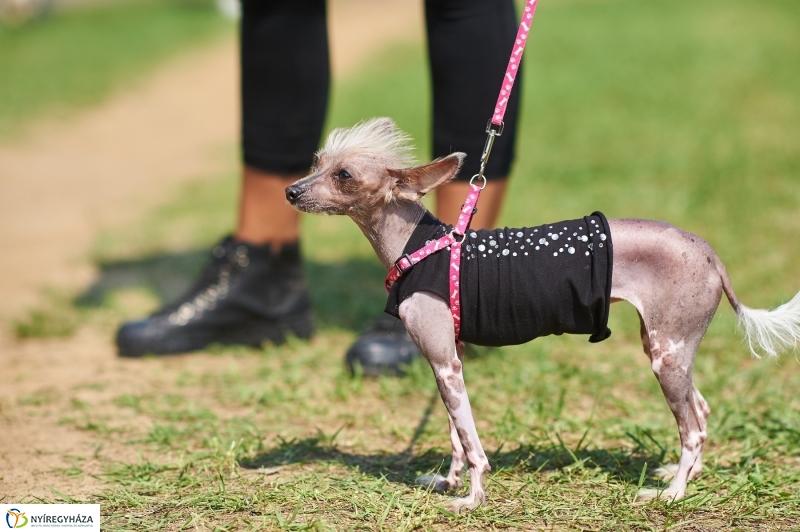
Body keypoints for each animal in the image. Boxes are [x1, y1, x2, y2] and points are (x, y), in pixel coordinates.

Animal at [288, 117, 800, 512]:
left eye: (345, 175)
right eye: (316, 163)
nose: (292, 192)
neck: (420, 243)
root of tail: (712, 255)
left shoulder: (446, 363)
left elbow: (473, 445)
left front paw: (471, 499)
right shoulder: (448, 360)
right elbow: (456, 433)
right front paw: (448, 482)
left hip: (666, 357)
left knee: (691, 429)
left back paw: (671, 494)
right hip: (668, 348)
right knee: (701, 409)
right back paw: (684, 475)